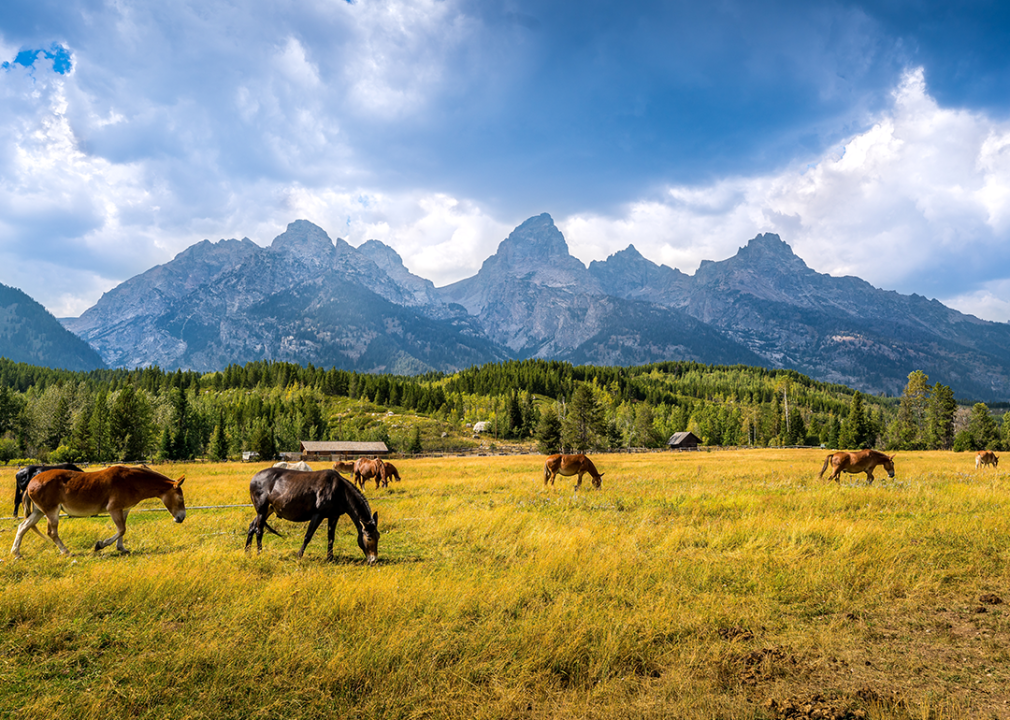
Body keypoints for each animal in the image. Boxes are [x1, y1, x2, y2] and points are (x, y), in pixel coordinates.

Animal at [10, 462, 187, 557]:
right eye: (180, 498)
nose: (181, 518)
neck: (132, 480)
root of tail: (31, 482)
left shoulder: (124, 509)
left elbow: (123, 530)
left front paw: (121, 548)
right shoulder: (114, 509)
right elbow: (121, 529)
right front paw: (100, 545)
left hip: (39, 512)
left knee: (23, 527)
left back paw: (16, 553)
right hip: (51, 512)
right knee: (52, 532)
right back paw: (66, 551)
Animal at [246, 462, 379, 565]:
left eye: (378, 536)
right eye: (369, 537)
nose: (373, 560)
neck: (340, 490)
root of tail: (254, 478)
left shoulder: (334, 516)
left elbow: (331, 537)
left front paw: (330, 558)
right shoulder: (318, 515)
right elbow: (308, 536)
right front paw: (299, 555)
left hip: (268, 510)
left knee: (252, 526)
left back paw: (247, 552)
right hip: (262, 511)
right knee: (259, 531)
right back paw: (259, 553)